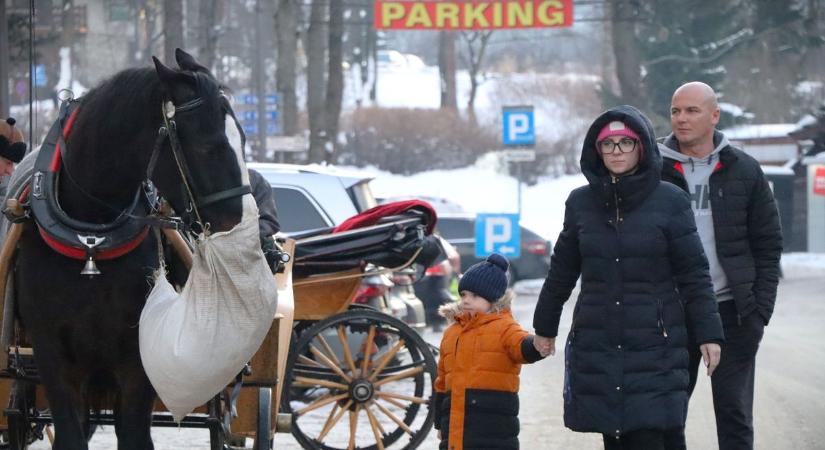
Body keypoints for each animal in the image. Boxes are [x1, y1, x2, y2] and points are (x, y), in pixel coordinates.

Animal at [12, 50, 248, 450]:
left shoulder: (137, 360)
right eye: (208, 147)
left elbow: (135, 434)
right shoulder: (52, 355)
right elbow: (70, 434)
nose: (242, 223)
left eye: (243, 139)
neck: (90, 243)